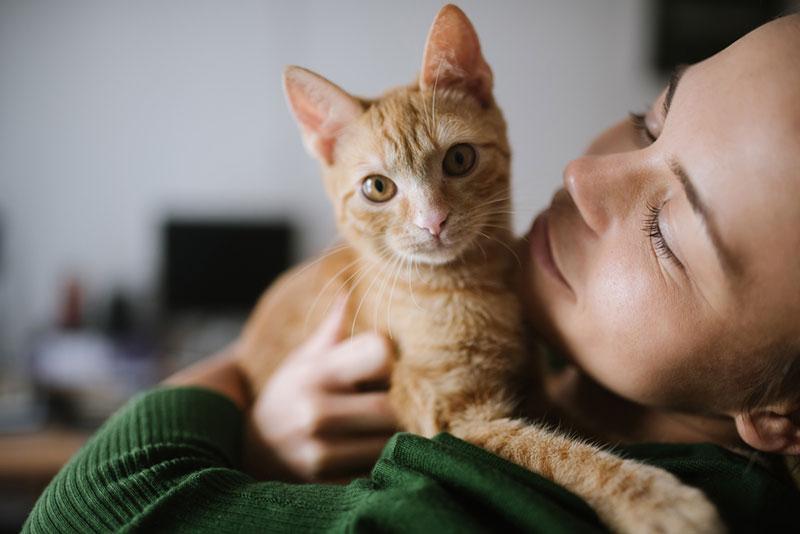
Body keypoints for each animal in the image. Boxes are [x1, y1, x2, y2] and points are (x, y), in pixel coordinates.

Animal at [233, 5, 724, 534]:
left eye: (459, 159)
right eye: (377, 188)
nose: (433, 221)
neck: (472, 283)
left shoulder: (535, 386)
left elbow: (578, 427)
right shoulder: (456, 424)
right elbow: (556, 451)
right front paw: (652, 497)